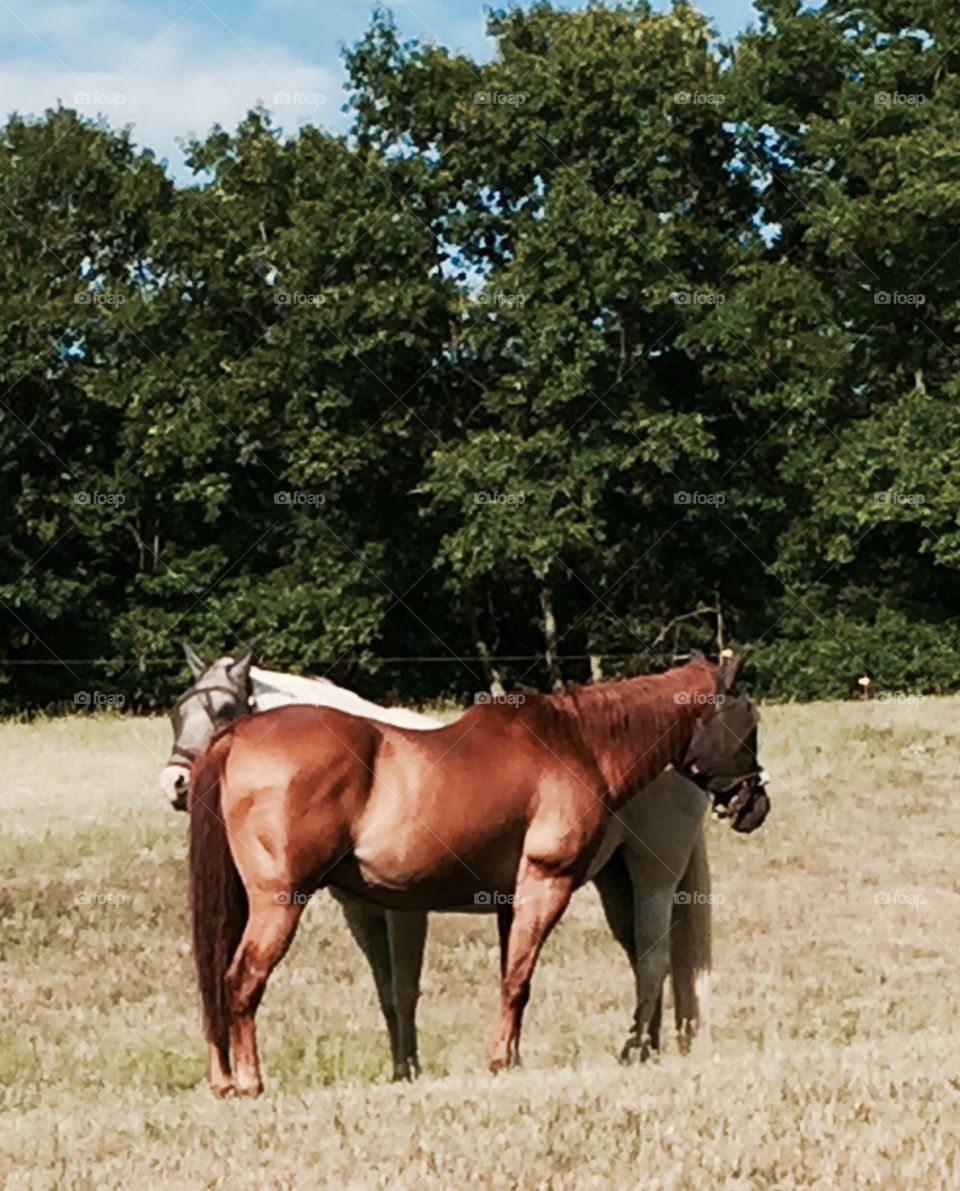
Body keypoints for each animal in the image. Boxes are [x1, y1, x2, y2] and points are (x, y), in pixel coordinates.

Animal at [183, 652, 768, 1094]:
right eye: (748, 722)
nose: (754, 804)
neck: (578, 741)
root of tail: (235, 740)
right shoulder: (544, 884)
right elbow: (517, 978)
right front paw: (499, 1058)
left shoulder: (511, 898)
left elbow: (509, 978)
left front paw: (507, 1056)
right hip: (278, 903)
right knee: (240, 979)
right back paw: (249, 1082)